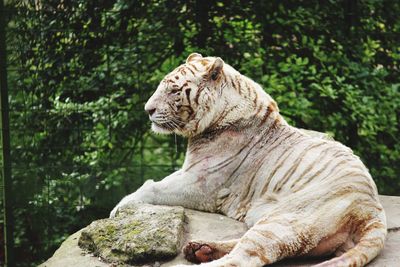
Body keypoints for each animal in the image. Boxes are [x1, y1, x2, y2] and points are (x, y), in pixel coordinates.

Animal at [111, 53, 386, 266]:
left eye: (174, 90)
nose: (148, 110)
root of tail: (371, 207)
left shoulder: (202, 184)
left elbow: (153, 187)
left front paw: (119, 208)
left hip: (283, 220)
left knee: (244, 257)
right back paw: (200, 249)